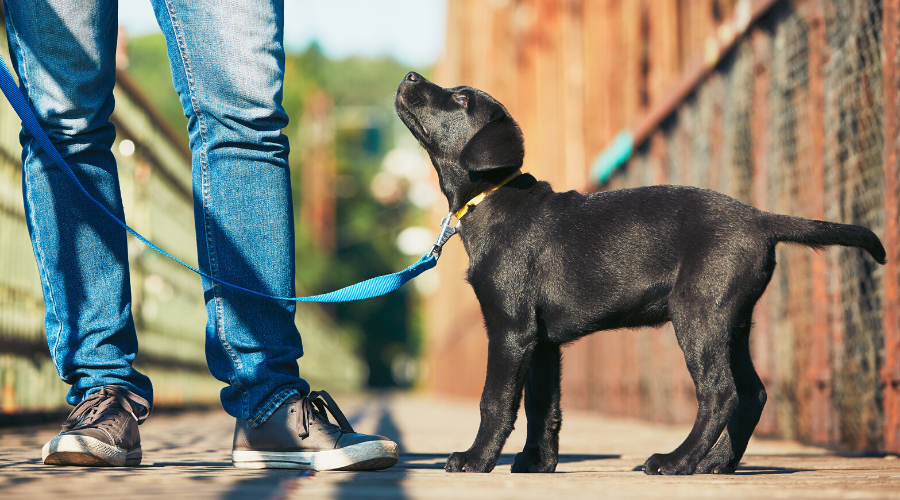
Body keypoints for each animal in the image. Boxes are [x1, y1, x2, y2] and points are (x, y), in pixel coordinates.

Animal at [396, 69, 884, 472]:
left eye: (460, 98)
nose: (410, 75)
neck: (491, 197)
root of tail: (761, 218)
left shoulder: (511, 329)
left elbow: (495, 401)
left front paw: (476, 459)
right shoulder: (542, 341)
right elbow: (542, 407)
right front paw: (537, 463)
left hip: (698, 314)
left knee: (720, 393)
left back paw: (676, 461)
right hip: (733, 321)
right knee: (751, 393)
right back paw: (714, 463)